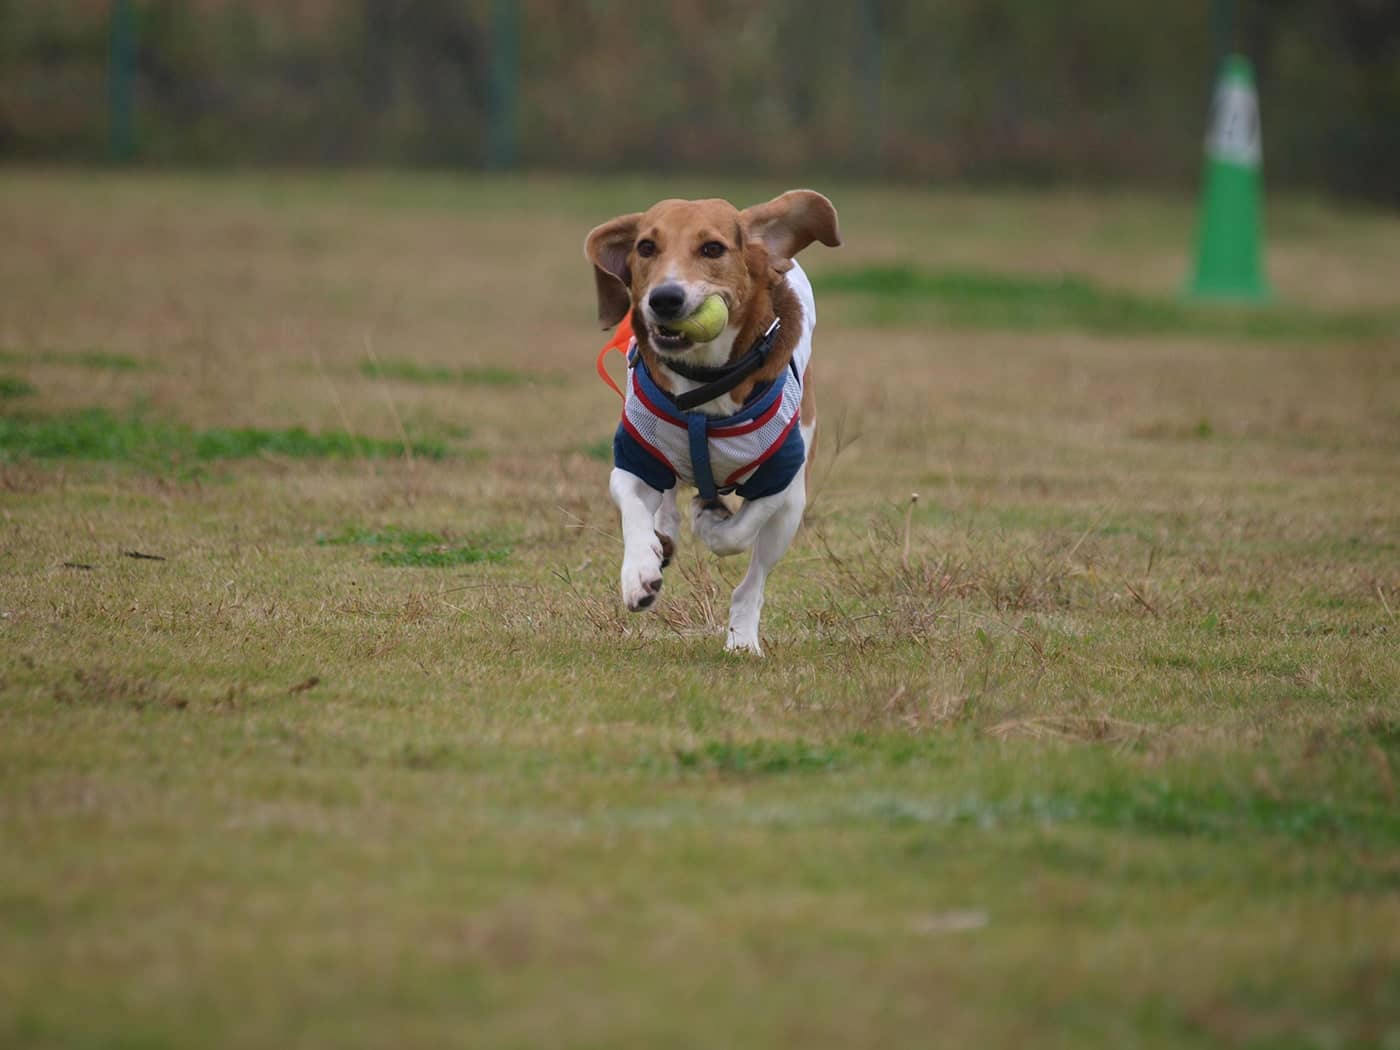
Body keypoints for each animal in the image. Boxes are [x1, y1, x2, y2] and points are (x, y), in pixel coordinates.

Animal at [582, 187, 834, 649]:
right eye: (646, 247)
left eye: (713, 248)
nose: (665, 297)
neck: (703, 383)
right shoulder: (635, 457)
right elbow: (633, 508)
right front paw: (639, 573)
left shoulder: (783, 479)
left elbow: (737, 532)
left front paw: (710, 521)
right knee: (666, 500)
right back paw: (665, 533)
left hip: (790, 512)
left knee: (752, 581)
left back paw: (742, 640)